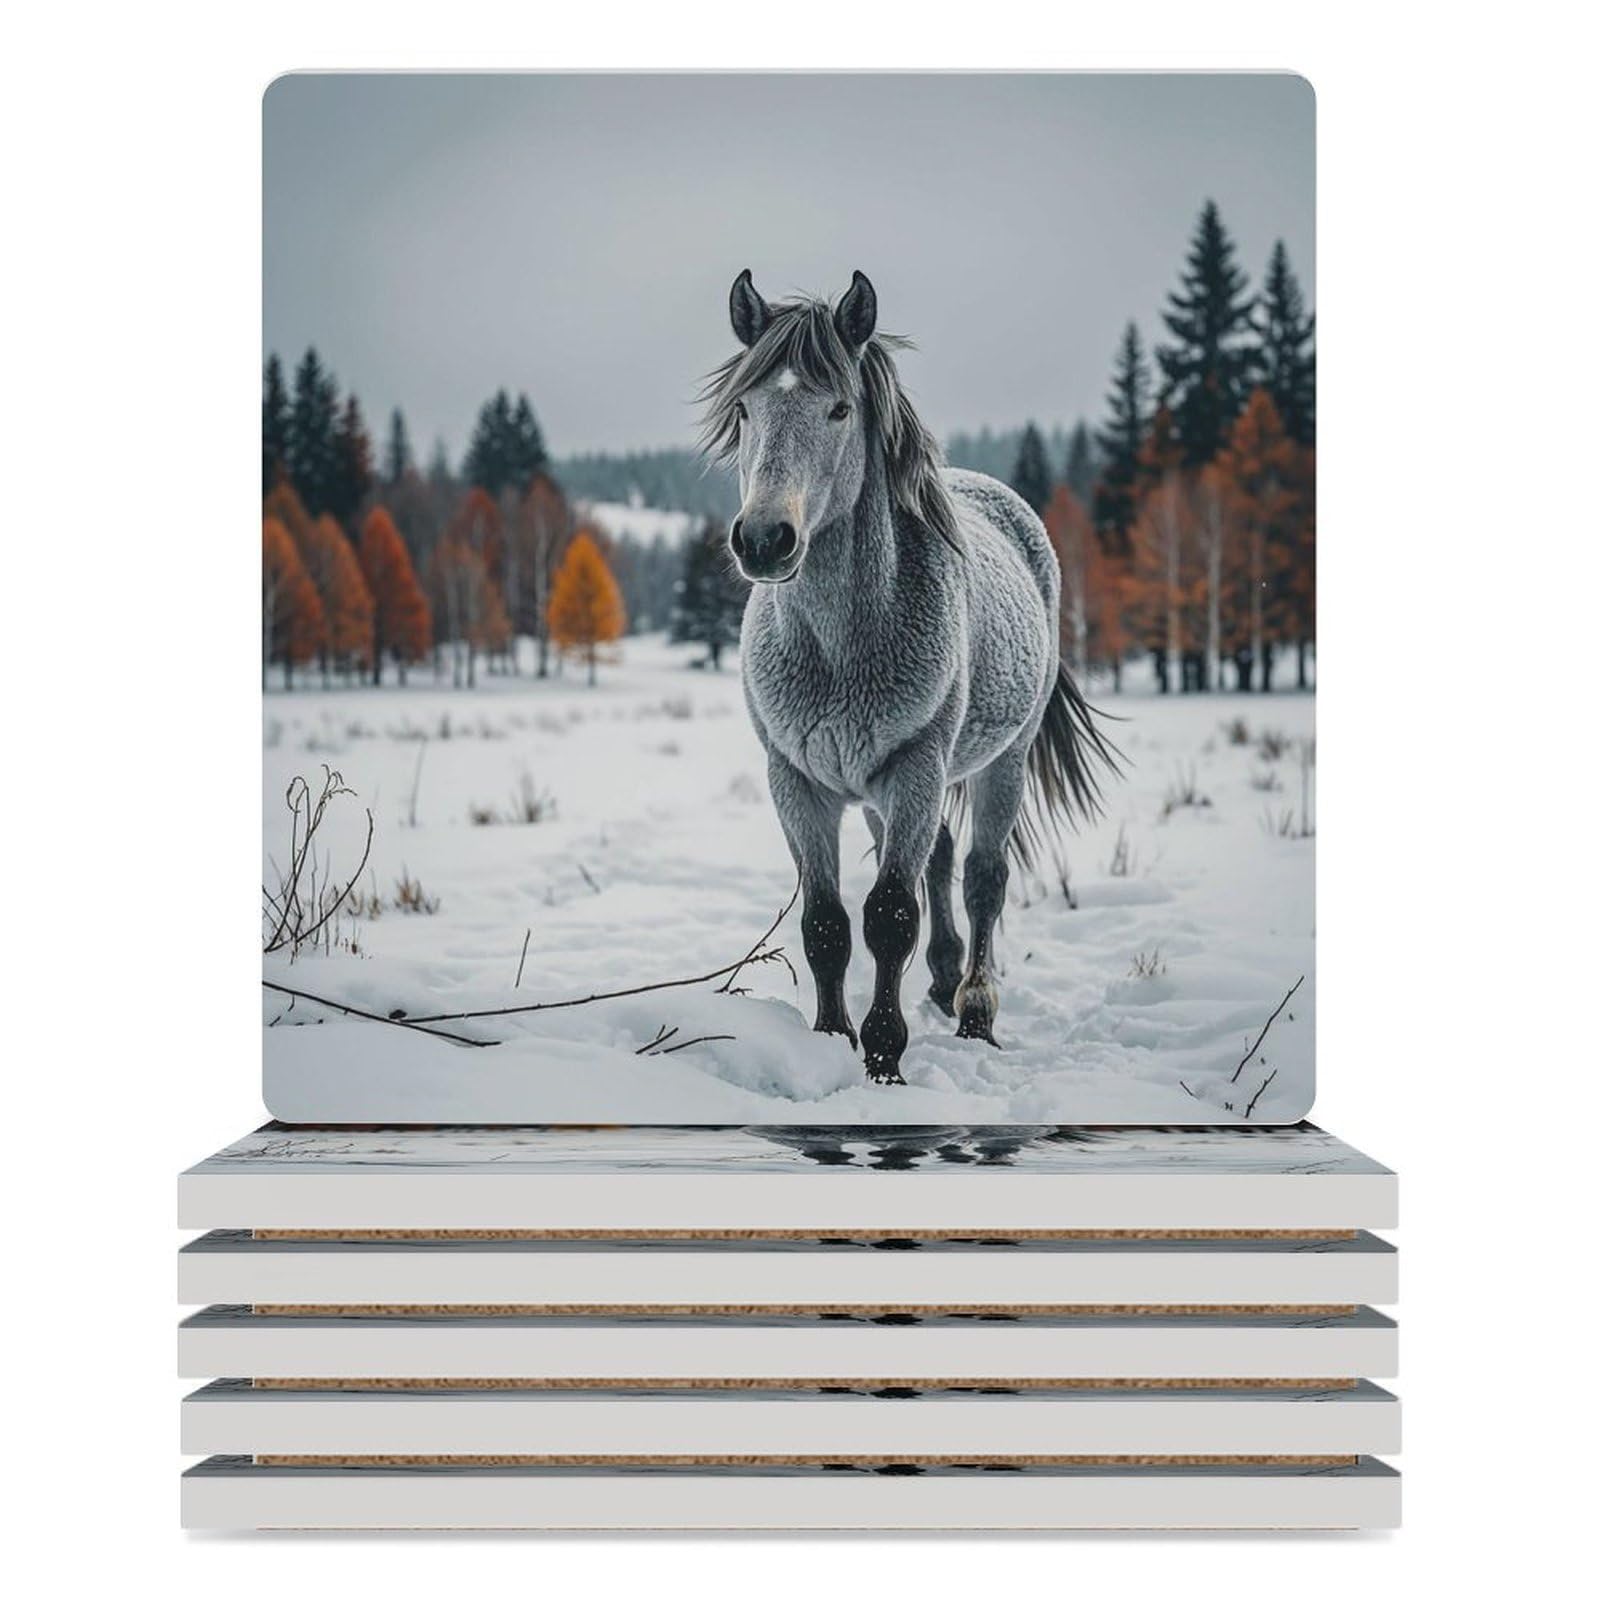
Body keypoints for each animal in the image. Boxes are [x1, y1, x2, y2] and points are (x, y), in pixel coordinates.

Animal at [702, 269, 1118, 1085]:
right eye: (743, 407)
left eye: (839, 407)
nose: (765, 539)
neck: (840, 648)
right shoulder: (799, 782)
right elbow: (827, 922)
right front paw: (830, 1039)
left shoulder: (916, 769)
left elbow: (889, 915)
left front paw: (884, 1057)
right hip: (879, 792)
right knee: (946, 860)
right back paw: (944, 976)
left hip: (999, 761)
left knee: (985, 874)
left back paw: (976, 1009)